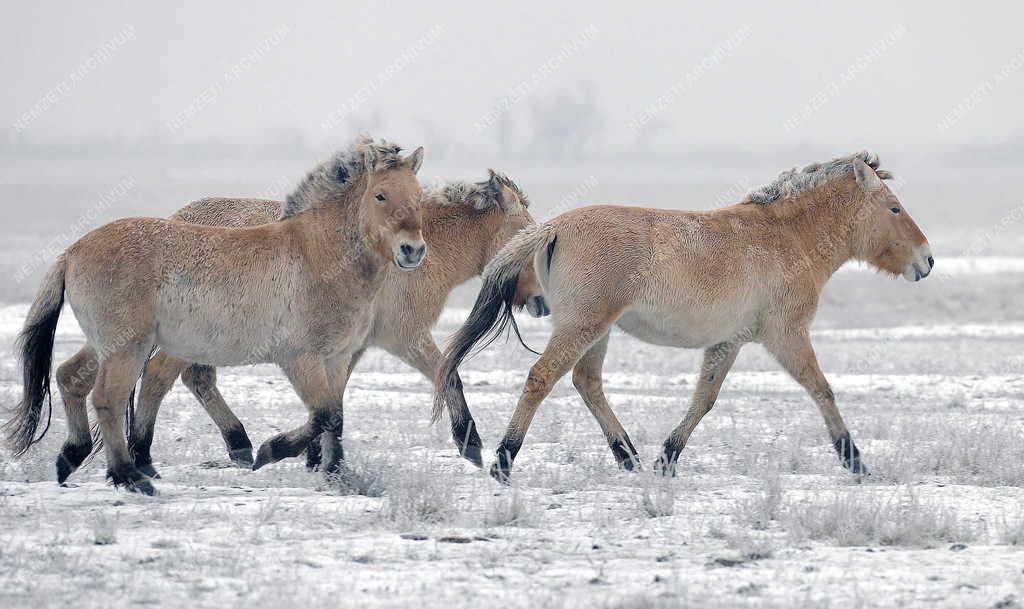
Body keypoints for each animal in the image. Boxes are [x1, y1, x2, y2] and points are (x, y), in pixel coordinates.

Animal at [4, 136, 428, 493]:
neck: (317, 254)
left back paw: (71, 458)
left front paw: (338, 475)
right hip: (127, 348)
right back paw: (130, 476)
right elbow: (324, 414)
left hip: (105, 346)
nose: (412, 250)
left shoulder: (337, 358)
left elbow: (335, 418)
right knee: (108, 397)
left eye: (419, 196)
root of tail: (72, 251)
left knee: (70, 378)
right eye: (380, 195)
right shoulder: (300, 359)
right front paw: (270, 451)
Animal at [50, 169, 544, 476]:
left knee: (185, 378)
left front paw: (319, 458)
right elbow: (448, 377)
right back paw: (156, 454)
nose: (542, 300)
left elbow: (333, 401)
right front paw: (470, 444)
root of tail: (177, 218)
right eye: (526, 232)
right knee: (160, 378)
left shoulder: (348, 346)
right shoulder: (402, 337)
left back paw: (223, 446)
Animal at [436, 153, 933, 485]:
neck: (784, 237)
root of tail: (552, 227)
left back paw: (629, 457)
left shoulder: (729, 342)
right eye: (894, 208)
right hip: (582, 327)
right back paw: (503, 461)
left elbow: (704, 400)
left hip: (596, 331)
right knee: (542, 378)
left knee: (586, 382)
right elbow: (822, 389)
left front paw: (667, 458)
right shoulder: (787, 336)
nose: (926, 260)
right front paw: (856, 461)